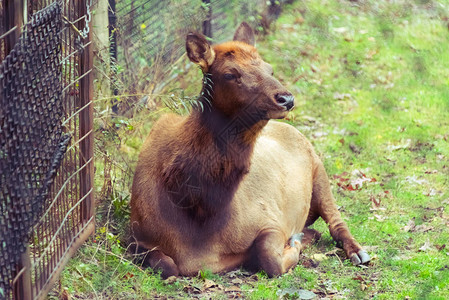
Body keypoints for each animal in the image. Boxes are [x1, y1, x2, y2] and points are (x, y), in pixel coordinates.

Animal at [129, 22, 368, 278]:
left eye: (269, 69)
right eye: (229, 74)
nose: (286, 99)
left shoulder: (271, 219)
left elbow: (269, 256)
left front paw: (295, 243)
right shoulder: (137, 237)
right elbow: (166, 265)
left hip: (319, 169)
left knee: (336, 221)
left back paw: (357, 252)